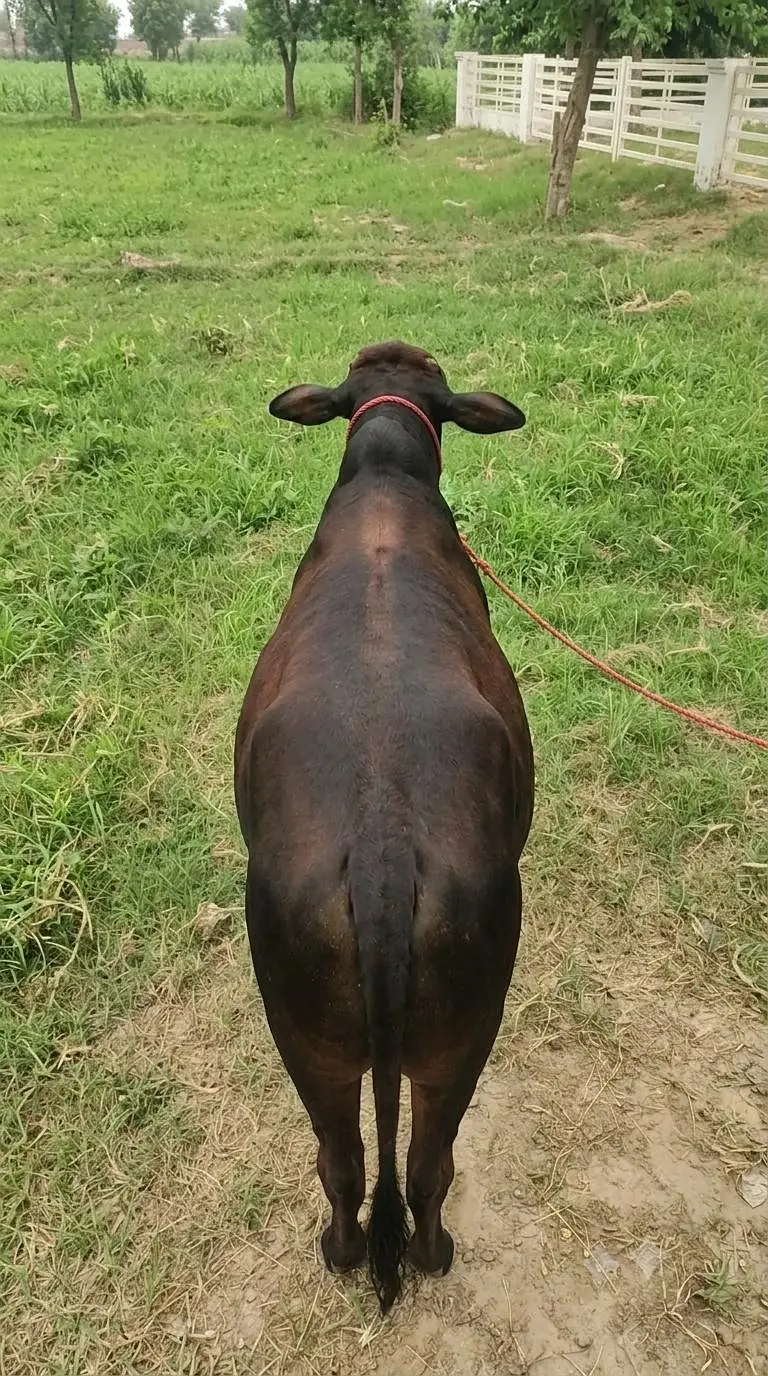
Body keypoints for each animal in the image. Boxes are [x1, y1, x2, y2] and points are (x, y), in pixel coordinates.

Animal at [234, 341, 534, 1314]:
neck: (386, 473)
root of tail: (381, 845)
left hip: (319, 1043)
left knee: (355, 1160)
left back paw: (353, 1251)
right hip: (448, 1038)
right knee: (414, 1164)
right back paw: (414, 1252)